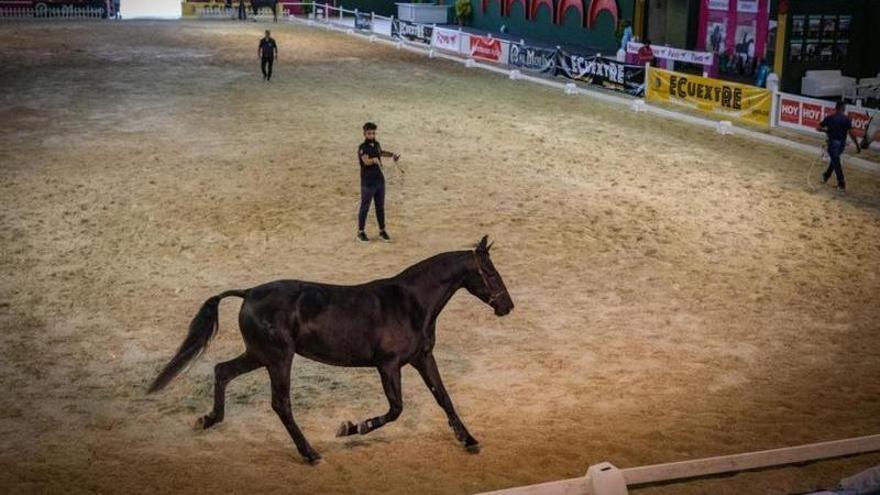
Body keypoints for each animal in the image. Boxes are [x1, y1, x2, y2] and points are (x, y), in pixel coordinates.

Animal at [147, 236, 512, 464]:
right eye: (491, 273)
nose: (507, 307)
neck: (409, 303)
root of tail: (249, 293)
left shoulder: (422, 358)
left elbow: (443, 397)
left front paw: (469, 440)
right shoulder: (388, 365)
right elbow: (396, 409)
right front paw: (351, 428)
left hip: (259, 355)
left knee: (222, 371)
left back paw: (208, 420)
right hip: (278, 358)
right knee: (280, 404)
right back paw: (310, 454)